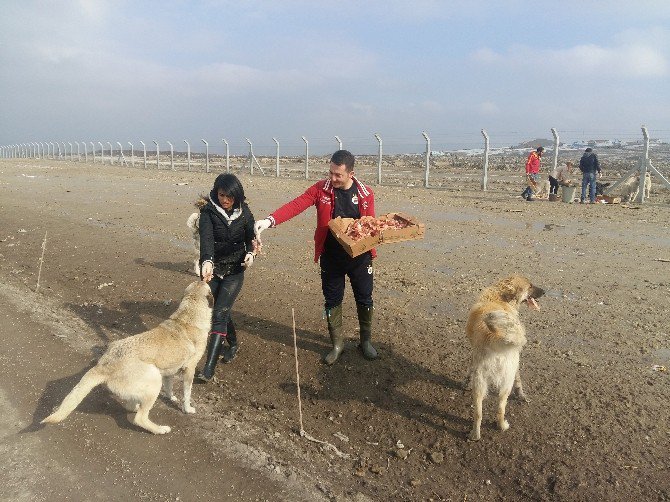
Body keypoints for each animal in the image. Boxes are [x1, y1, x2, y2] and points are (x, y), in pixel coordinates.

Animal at [42, 280, 214, 434]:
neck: (187, 316)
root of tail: (104, 365)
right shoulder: (189, 369)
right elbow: (187, 393)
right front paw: (187, 409)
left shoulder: (169, 371)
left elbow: (169, 387)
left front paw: (171, 398)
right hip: (154, 378)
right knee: (140, 418)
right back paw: (160, 429)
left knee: (130, 406)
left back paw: (138, 406)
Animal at [468, 274, 544, 440]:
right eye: (530, 285)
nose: (545, 291)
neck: (499, 297)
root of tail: (496, 339)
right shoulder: (516, 364)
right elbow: (519, 381)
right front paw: (521, 394)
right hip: (505, 382)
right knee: (500, 409)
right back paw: (502, 426)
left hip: (481, 383)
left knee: (479, 413)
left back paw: (476, 434)